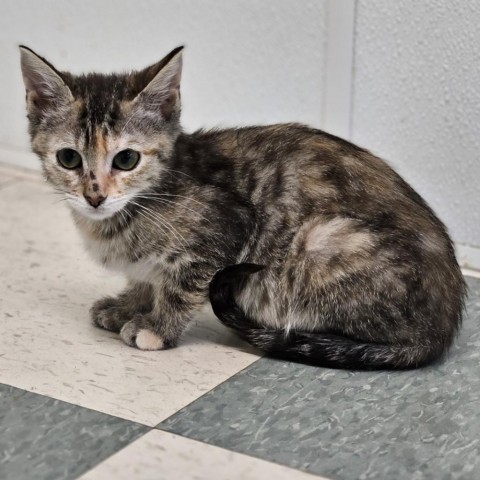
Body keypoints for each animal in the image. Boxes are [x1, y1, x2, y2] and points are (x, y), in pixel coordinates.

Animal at [20, 45, 466, 370]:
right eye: (69, 159)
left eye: (126, 159)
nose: (95, 196)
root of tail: (441, 329)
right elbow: (146, 277)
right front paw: (129, 305)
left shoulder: (226, 226)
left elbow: (181, 287)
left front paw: (157, 327)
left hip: (320, 240)